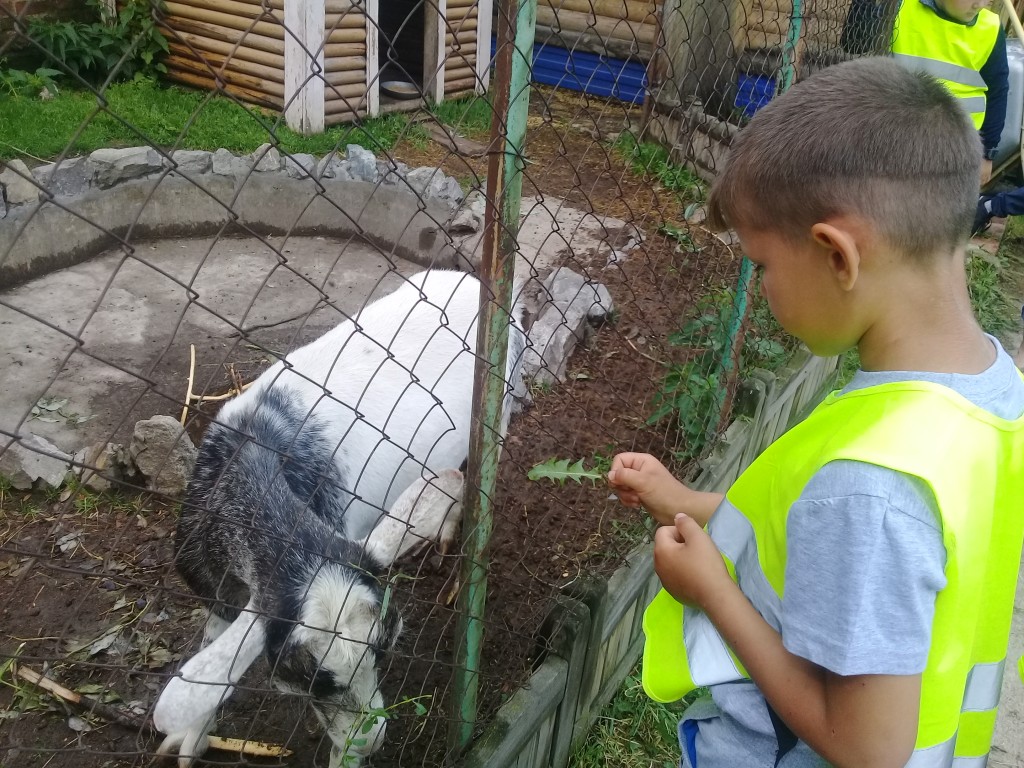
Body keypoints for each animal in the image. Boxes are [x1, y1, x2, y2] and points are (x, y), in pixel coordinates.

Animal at [153, 269, 526, 768]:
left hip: (499, 408)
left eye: (385, 651)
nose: (373, 741)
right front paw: (189, 740)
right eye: (306, 679)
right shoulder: (215, 586)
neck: (254, 452)